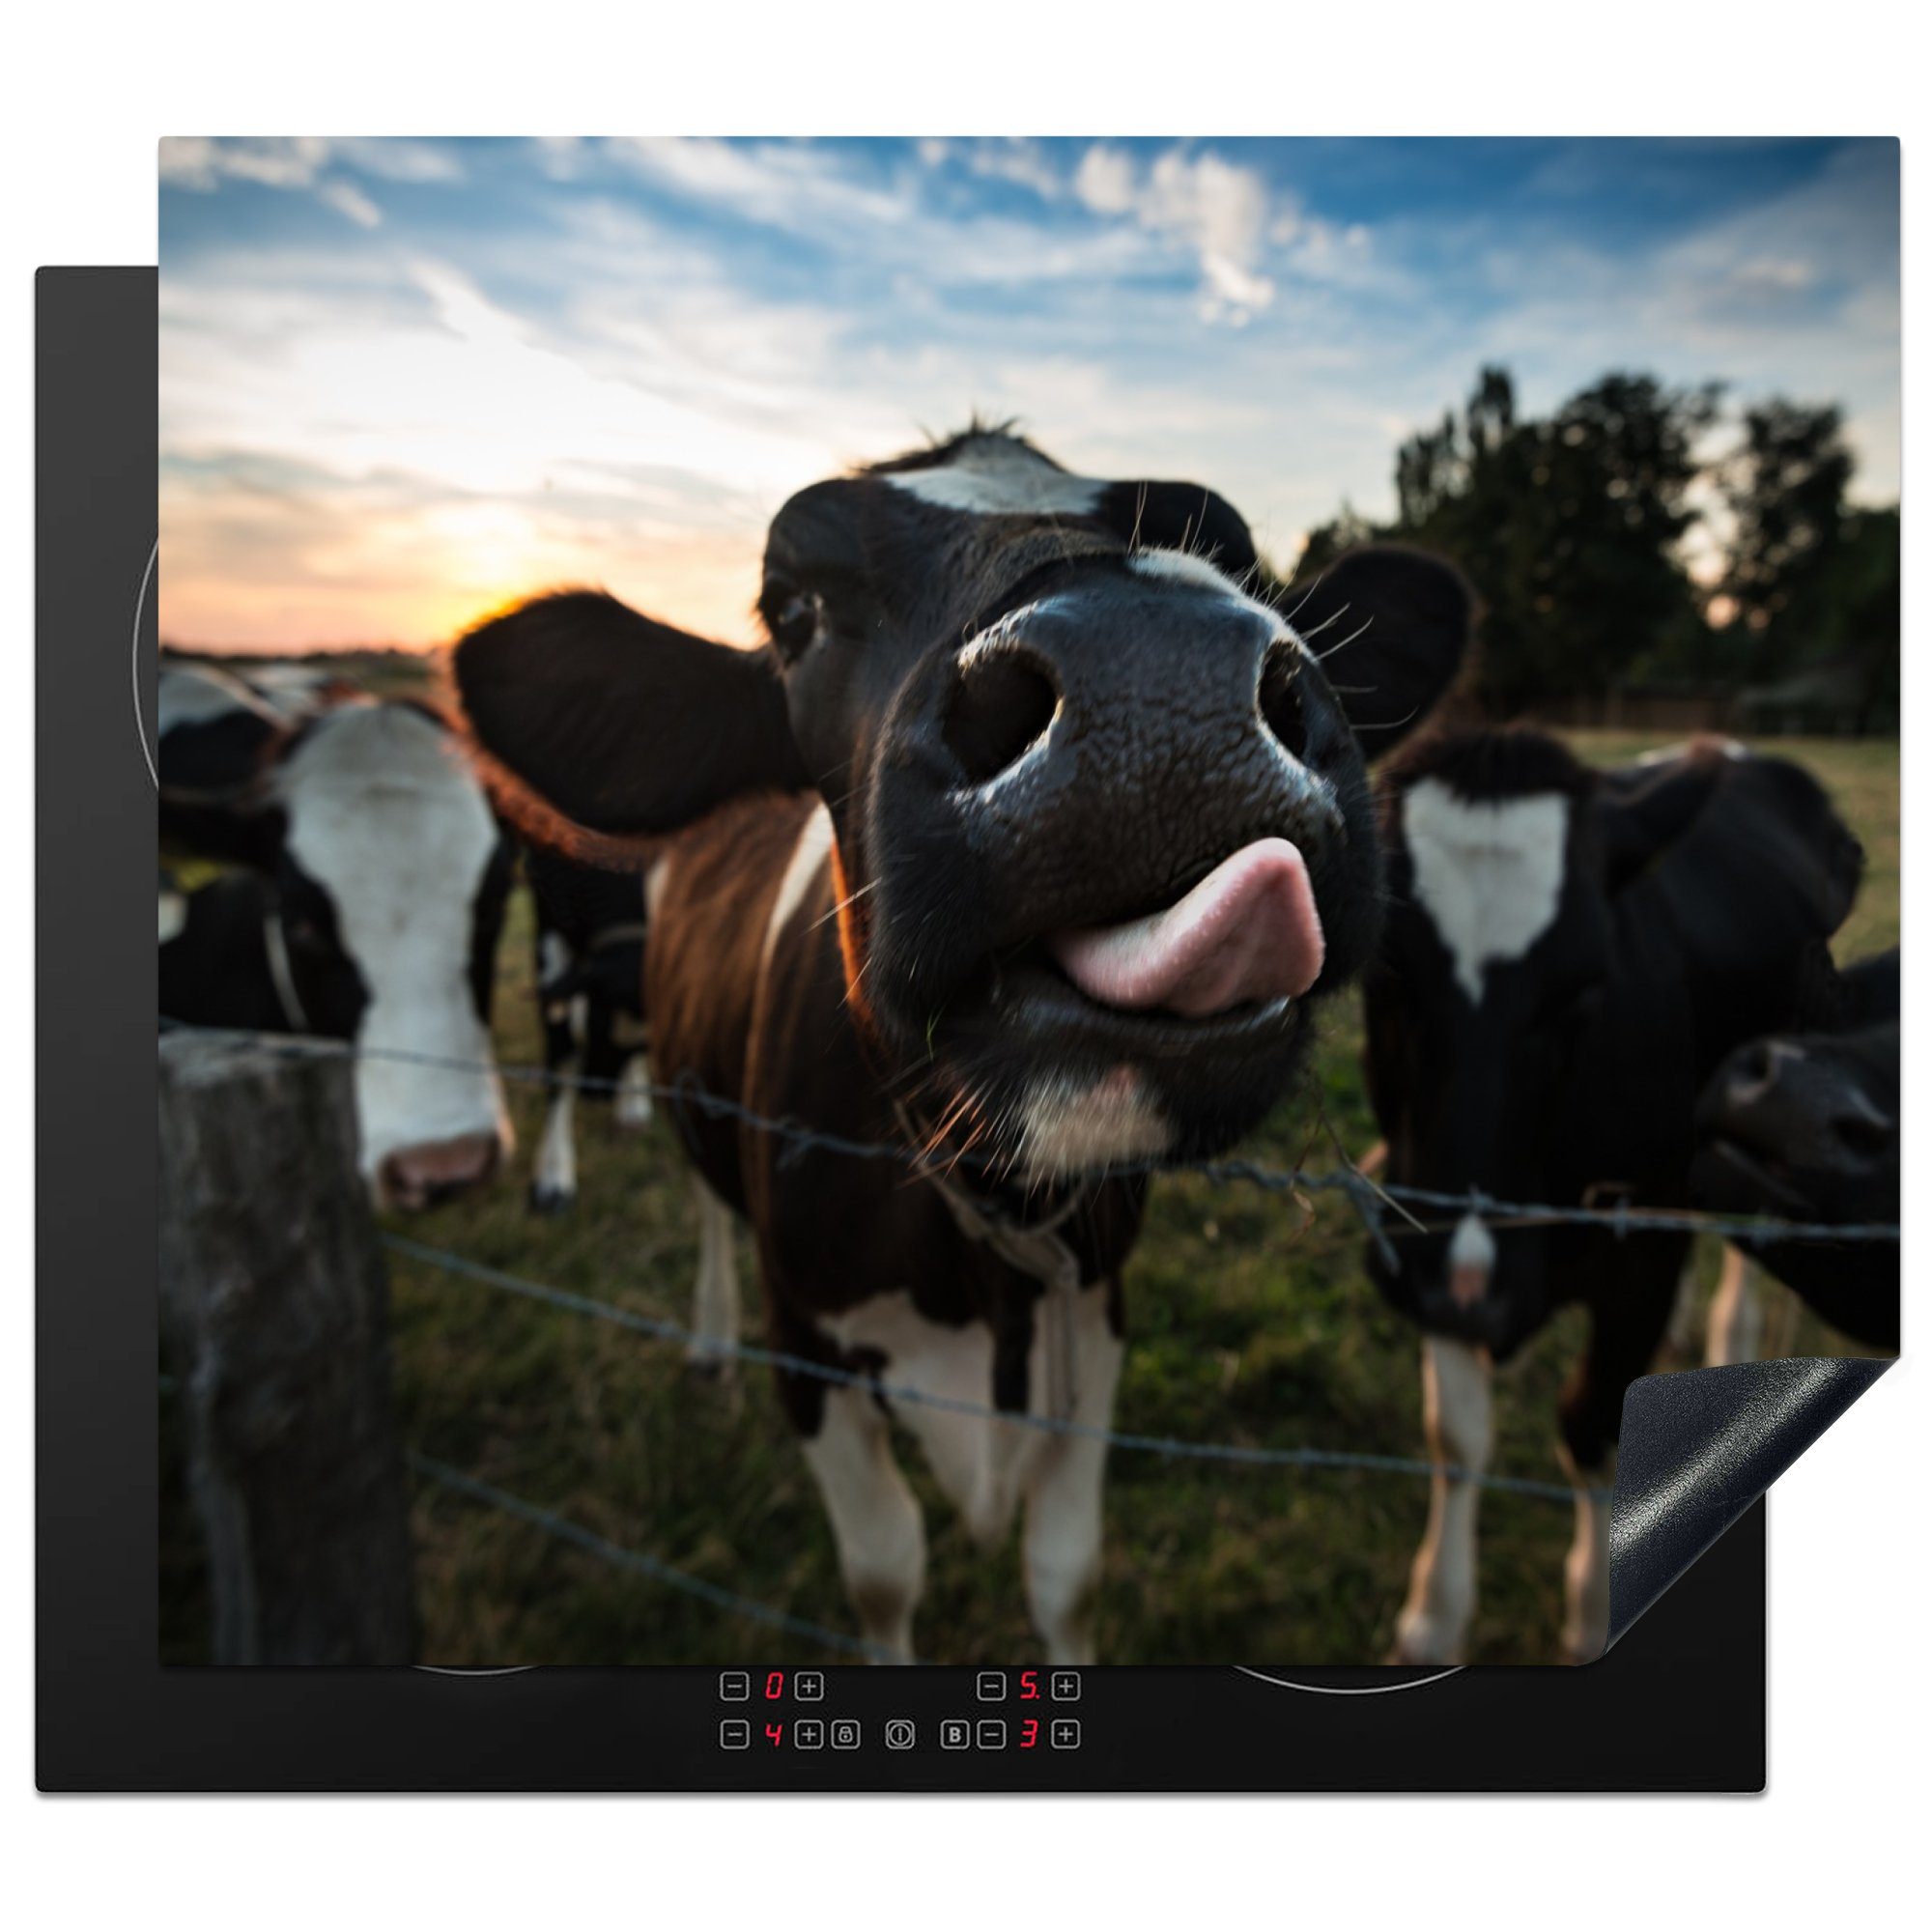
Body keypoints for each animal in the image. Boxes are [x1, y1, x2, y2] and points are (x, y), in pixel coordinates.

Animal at [1361, 729, 1862, 1664]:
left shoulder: (1628, 1260)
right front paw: (1433, 1616)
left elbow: (1595, 1421)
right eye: (1388, 975)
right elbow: (1456, 1435)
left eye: (1586, 987)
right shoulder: (1427, 1246)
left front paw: (1595, 1603)